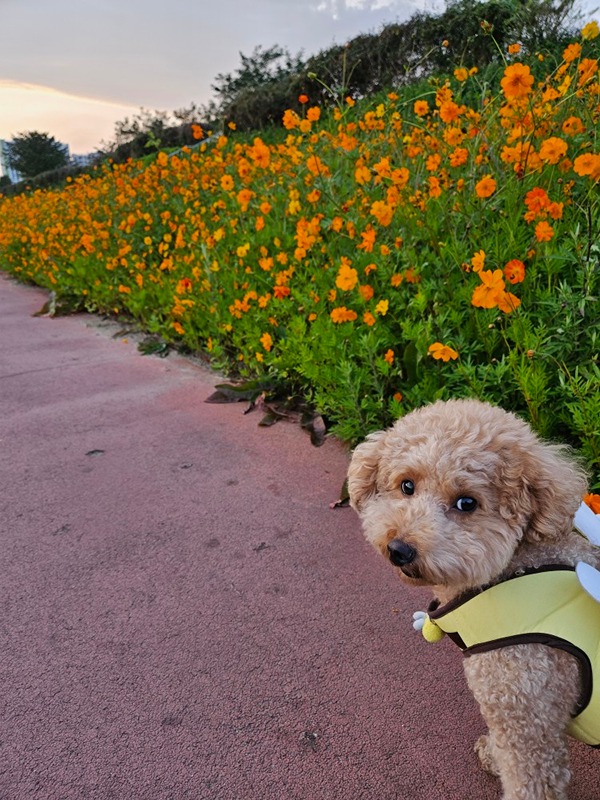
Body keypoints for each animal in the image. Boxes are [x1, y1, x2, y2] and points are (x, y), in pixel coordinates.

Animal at [350, 400, 596, 800]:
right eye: (406, 485)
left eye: (467, 503)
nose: (399, 549)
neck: (515, 569)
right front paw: (492, 754)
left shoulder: (527, 720)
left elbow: (528, 778)